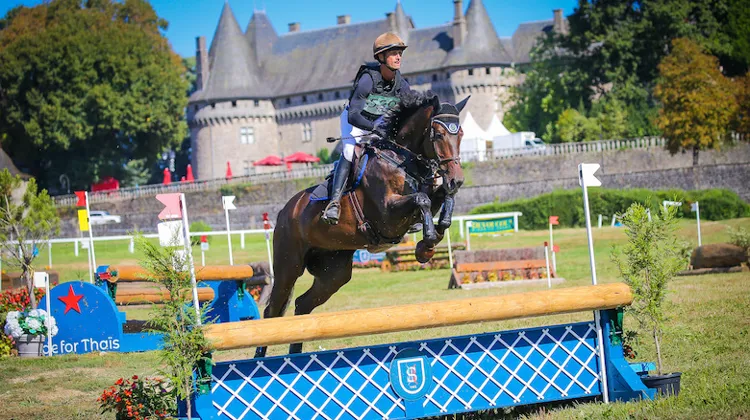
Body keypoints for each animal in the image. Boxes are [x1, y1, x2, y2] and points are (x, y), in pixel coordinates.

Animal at [255, 91, 468, 357]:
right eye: (438, 134)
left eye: (460, 134)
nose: (456, 180)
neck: (401, 159)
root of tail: (285, 211)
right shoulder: (387, 215)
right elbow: (422, 199)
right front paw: (426, 243)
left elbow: (442, 199)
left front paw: (431, 240)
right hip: (288, 265)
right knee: (272, 311)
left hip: (334, 272)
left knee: (303, 304)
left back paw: (294, 356)